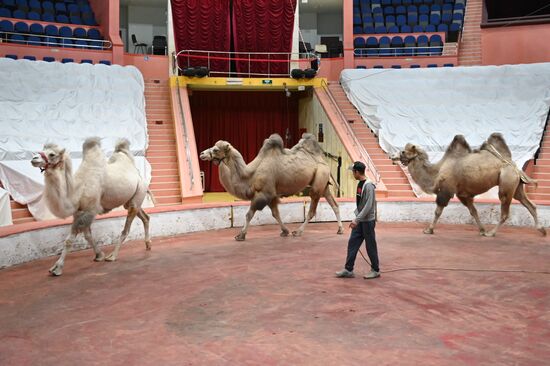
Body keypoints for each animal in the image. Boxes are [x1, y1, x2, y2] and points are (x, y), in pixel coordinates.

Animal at [32, 139, 153, 276]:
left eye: (52, 154)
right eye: (42, 149)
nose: (34, 158)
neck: (77, 191)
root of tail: (139, 176)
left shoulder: (88, 211)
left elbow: (70, 240)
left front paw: (57, 268)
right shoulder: (79, 212)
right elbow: (87, 235)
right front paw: (99, 255)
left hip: (138, 195)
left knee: (126, 230)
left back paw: (112, 256)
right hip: (132, 201)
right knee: (145, 217)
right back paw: (148, 244)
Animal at [198, 133, 344, 242]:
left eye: (216, 149)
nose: (202, 153)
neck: (250, 175)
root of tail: (324, 161)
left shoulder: (263, 194)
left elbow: (249, 214)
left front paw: (241, 235)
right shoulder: (271, 195)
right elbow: (275, 214)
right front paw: (285, 231)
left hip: (318, 182)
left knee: (312, 209)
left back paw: (298, 231)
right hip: (324, 185)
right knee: (334, 204)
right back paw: (340, 229)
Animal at [394, 132, 544, 237]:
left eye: (403, 151)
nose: (393, 157)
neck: (436, 172)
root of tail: (514, 166)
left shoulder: (446, 191)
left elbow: (438, 211)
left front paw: (428, 230)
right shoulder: (463, 194)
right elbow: (473, 211)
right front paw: (482, 230)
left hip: (506, 182)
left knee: (505, 210)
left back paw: (491, 233)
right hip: (516, 184)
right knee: (529, 203)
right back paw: (542, 230)